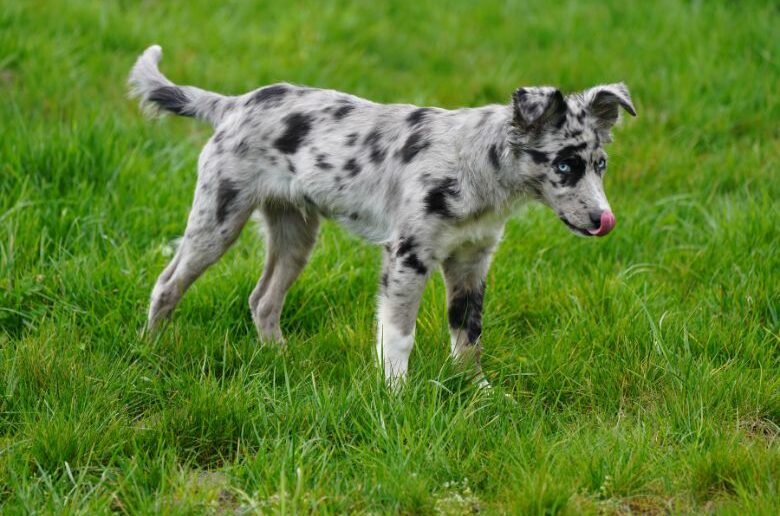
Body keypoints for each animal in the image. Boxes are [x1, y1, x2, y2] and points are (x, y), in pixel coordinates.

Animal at [129, 45, 632, 388]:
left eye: (601, 166)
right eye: (565, 166)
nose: (603, 220)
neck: (475, 166)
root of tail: (234, 104)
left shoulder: (471, 262)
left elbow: (468, 336)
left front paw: (481, 394)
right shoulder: (408, 256)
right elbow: (399, 335)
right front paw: (397, 395)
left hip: (295, 234)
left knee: (262, 300)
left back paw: (281, 361)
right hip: (217, 220)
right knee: (167, 285)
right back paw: (150, 351)